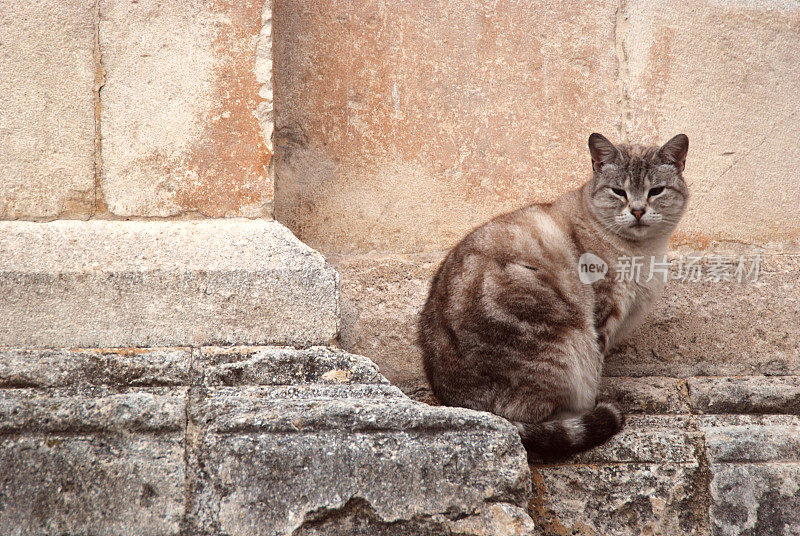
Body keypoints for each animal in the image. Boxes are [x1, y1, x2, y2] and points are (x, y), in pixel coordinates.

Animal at [418, 134, 688, 460]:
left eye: (656, 191)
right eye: (618, 191)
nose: (637, 210)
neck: (645, 253)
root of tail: (465, 405)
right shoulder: (601, 318)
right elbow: (597, 369)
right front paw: (598, 405)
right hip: (566, 342)